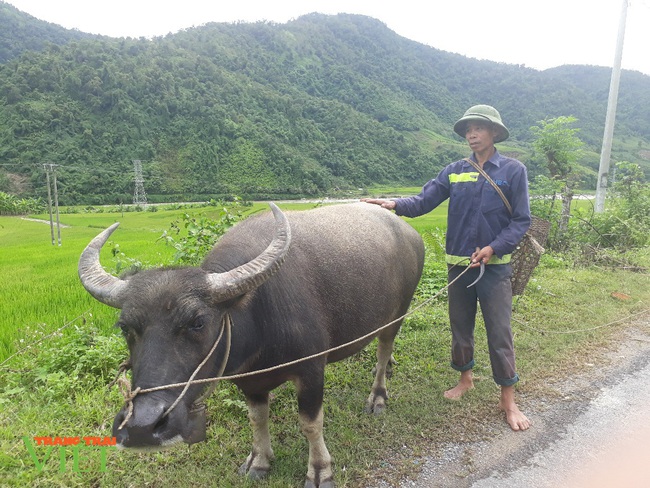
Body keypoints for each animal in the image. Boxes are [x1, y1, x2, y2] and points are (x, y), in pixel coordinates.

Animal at [78, 201, 422, 484]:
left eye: (198, 322)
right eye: (125, 327)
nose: (142, 427)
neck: (258, 316)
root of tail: (409, 232)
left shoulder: (312, 371)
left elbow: (311, 423)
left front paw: (320, 470)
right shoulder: (249, 381)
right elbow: (256, 419)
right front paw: (259, 462)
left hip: (398, 314)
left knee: (383, 350)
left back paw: (378, 396)